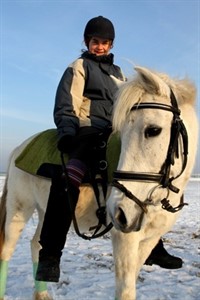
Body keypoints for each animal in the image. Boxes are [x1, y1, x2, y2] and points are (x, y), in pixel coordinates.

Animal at [0, 66, 198, 300]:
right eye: (122, 133)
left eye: (153, 130)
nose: (120, 213)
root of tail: (20, 148)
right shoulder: (124, 238)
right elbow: (125, 291)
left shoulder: (149, 238)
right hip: (19, 209)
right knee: (6, 251)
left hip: (45, 210)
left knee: (35, 243)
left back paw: (42, 294)